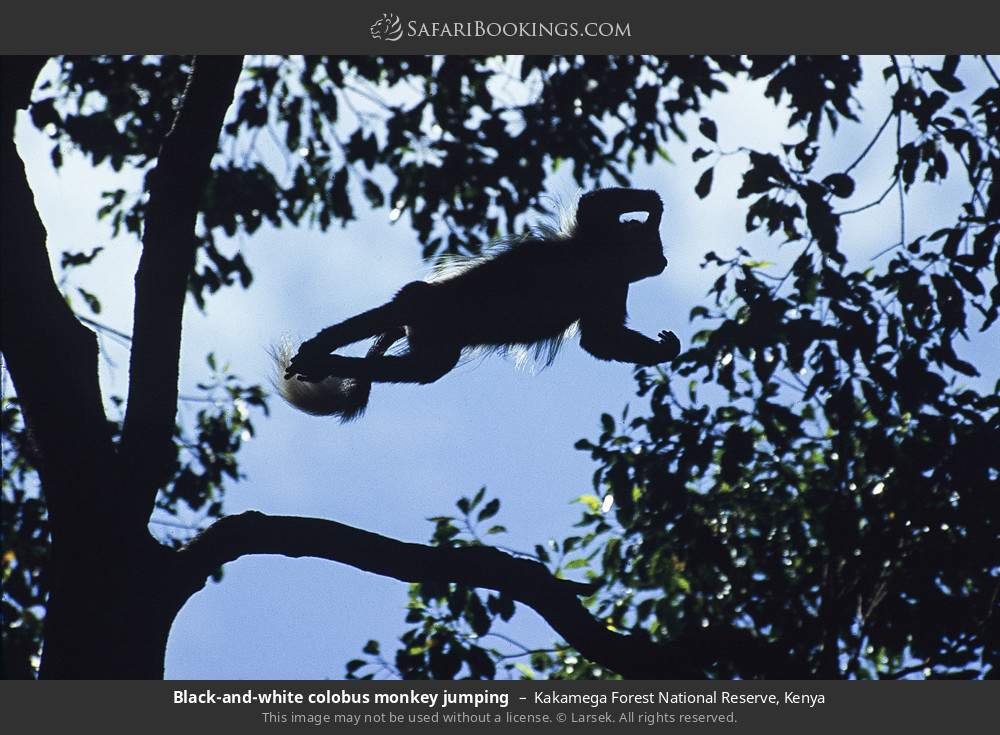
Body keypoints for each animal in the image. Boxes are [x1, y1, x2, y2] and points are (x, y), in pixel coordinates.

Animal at [274, 187, 680, 422]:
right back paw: (322, 349)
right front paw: (654, 207)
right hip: (429, 304)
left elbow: (601, 338)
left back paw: (329, 362)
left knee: (427, 367)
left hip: (436, 336)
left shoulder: (610, 286)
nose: (664, 262)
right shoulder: (596, 238)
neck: (605, 259)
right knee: (406, 309)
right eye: (655, 248)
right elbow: (594, 203)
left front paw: (665, 349)